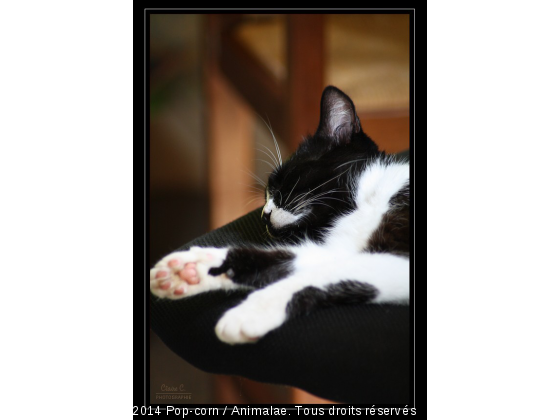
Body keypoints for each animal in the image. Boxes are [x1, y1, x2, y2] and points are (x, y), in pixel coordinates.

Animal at [151, 85, 410, 344]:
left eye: (282, 181)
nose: (264, 214)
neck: (365, 199)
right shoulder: (339, 248)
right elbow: (284, 260)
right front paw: (189, 270)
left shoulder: (398, 258)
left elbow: (328, 274)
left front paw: (251, 312)